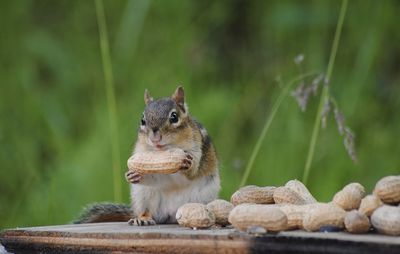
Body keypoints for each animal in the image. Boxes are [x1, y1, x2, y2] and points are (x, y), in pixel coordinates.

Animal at [73, 86, 220, 225]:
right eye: (142, 120)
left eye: (174, 117)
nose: (155, 136)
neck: (165, 150)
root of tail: (173, 214)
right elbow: (154, 178)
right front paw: (133, 175)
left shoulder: (197, 149)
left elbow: (193, 171)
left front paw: (188, 165)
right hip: (143, 195)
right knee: (147, 211)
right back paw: (142, 219)